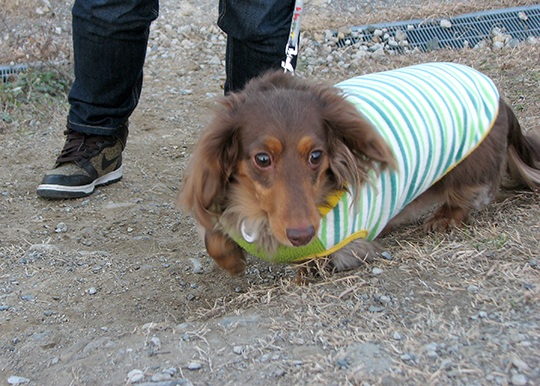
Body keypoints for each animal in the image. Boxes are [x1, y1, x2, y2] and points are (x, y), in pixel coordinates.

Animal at [178, 62, 540, 274]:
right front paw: (233, 262)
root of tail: (500, 98)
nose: (302, 234)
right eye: (262, 159)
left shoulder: (346, 242)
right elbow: (214, 238)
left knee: (471, 195)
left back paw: (445, 218)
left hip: (469, 168)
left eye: (317, 156)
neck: (258, 212)